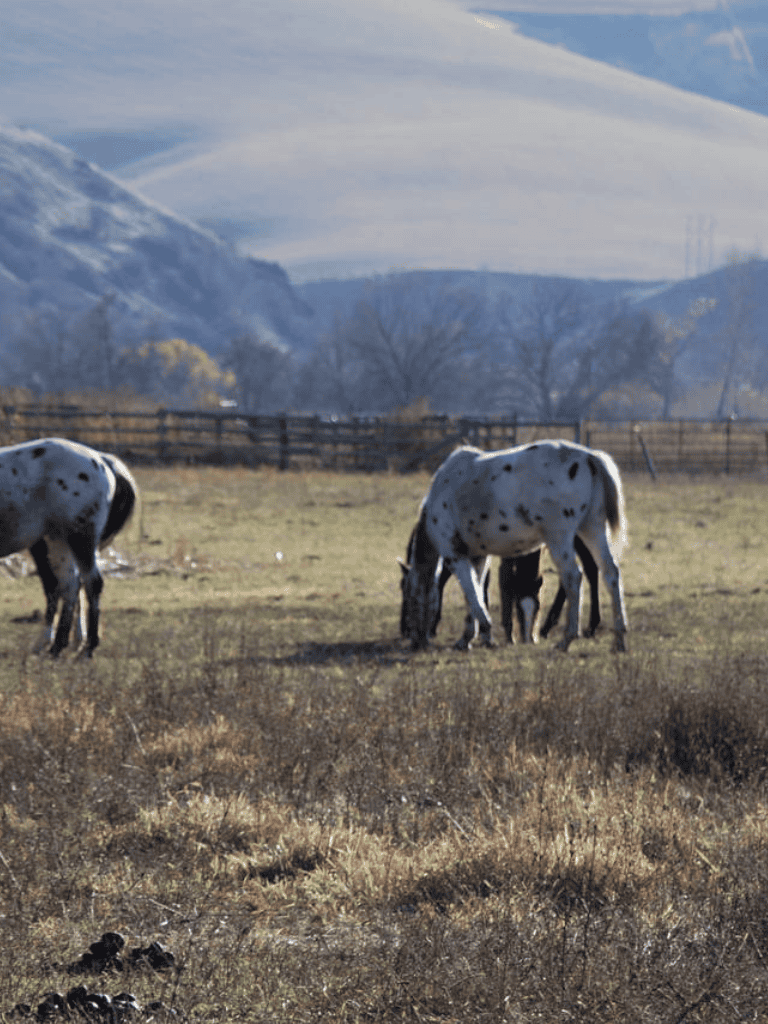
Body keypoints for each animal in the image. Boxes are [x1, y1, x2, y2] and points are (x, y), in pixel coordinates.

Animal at [0, 438, 134, 657]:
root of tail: (101, 459)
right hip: (59, 541)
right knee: (70, 585)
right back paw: (58, 646)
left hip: (79, 539)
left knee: (90, 584)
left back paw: (87, 647)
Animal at [400, 441, 627, 652]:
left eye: (408, 595)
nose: (413, 639)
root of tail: (589, 457)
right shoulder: (477, 557)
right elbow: (474, 593)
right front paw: (469, 637)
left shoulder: (454, 556)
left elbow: (472, 594)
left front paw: (484, 633)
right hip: (592, 530)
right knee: (610, 573)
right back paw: (619, 639)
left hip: (560, 538)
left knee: (573, 577)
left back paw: (567, 639)